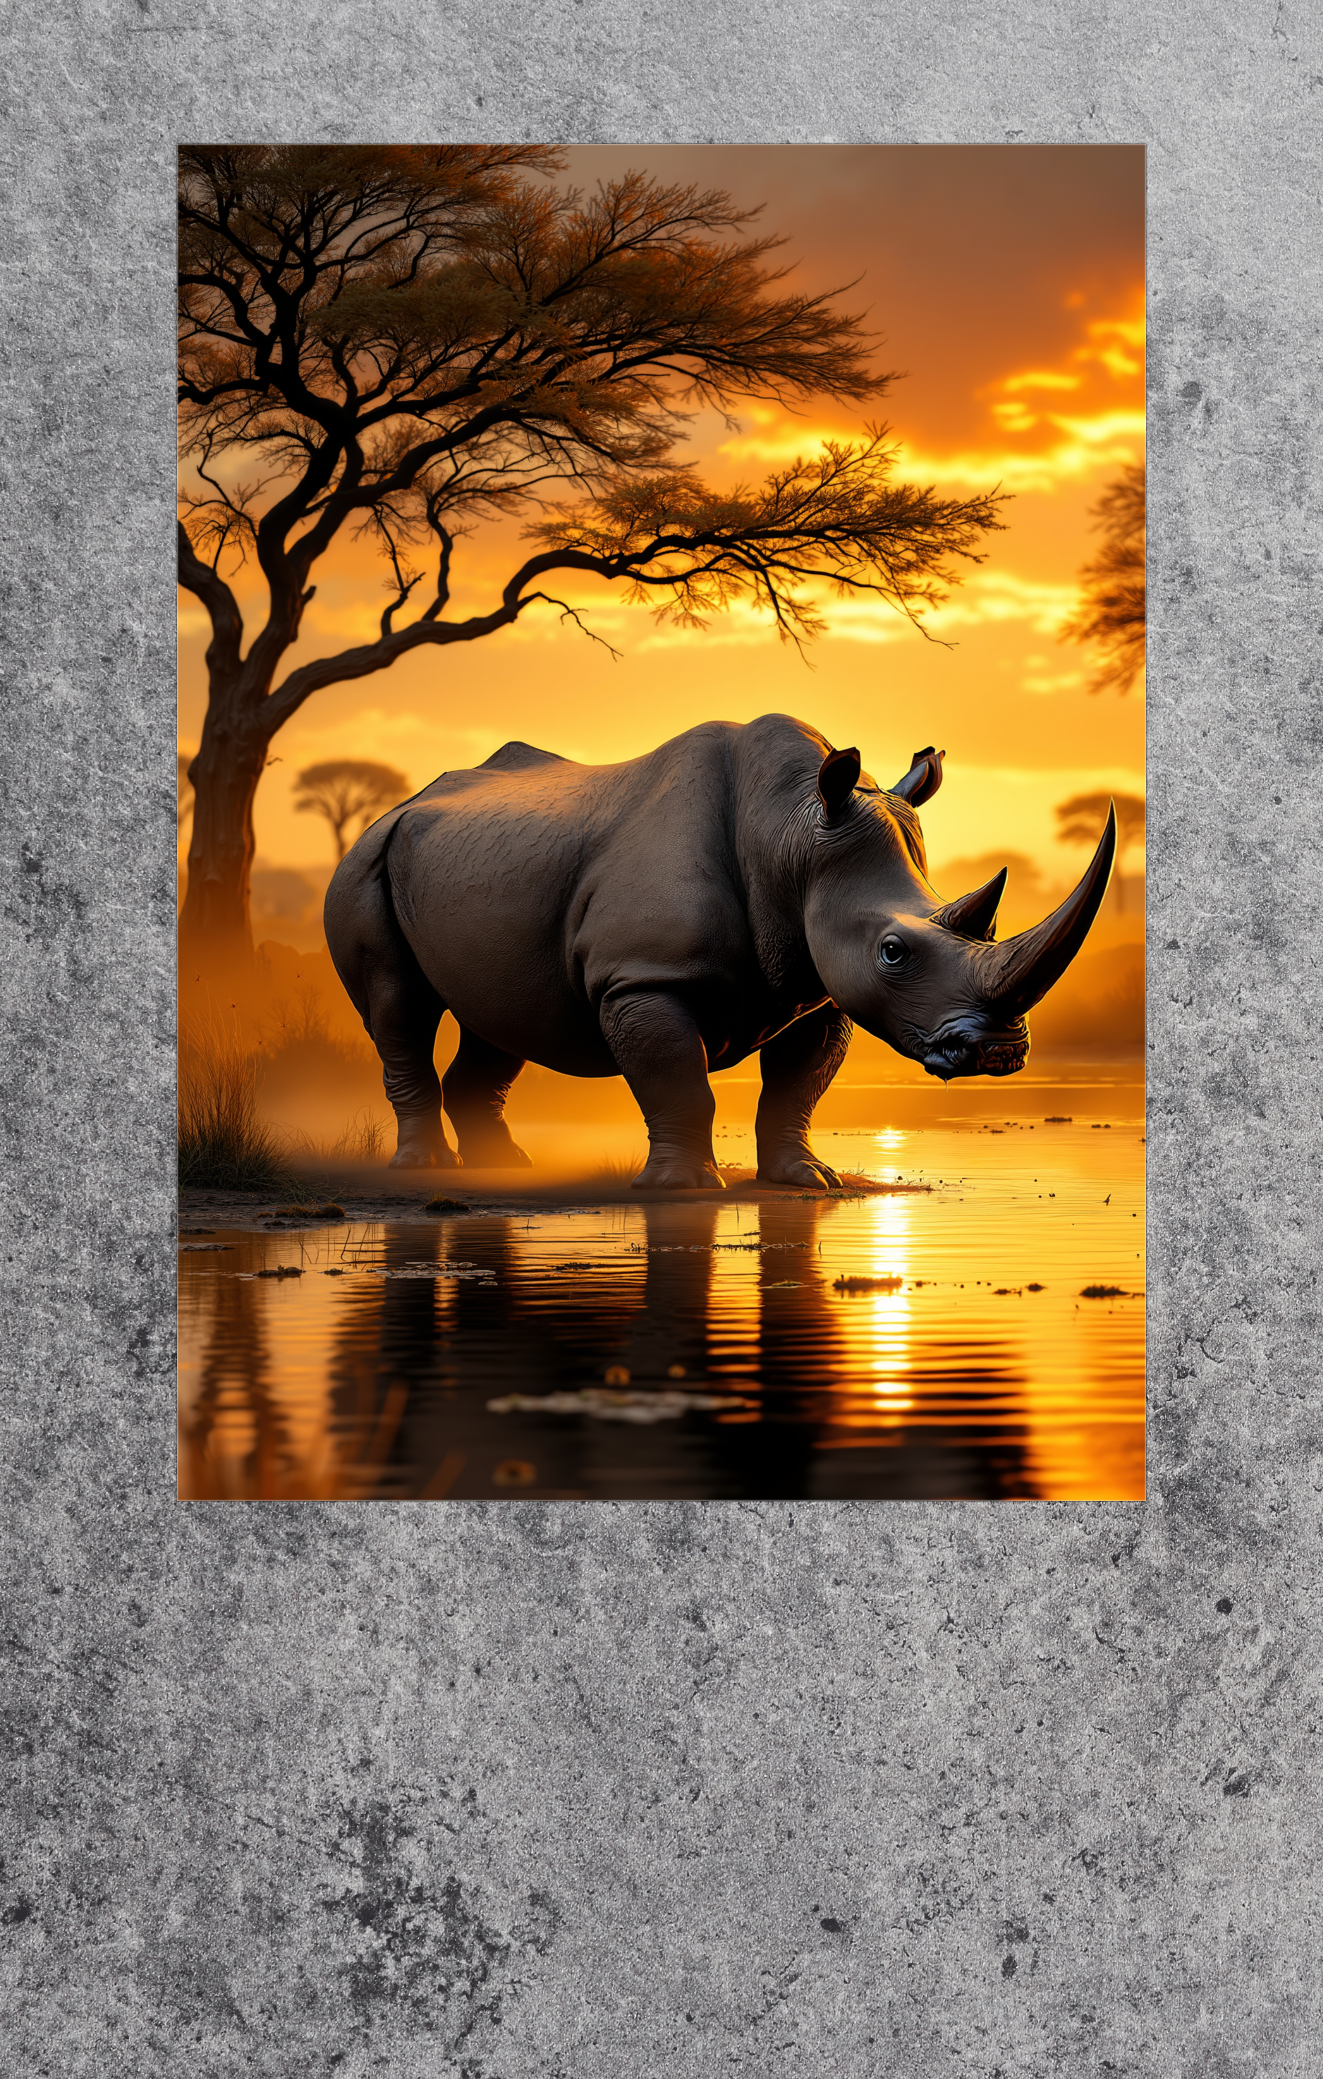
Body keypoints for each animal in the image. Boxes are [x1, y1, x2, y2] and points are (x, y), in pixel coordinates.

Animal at [324, 713, 1115, 1190]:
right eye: (893, 952)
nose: (1001, 1051)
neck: (791, 829)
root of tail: (401, 805)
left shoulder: (815, 986)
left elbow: (795, 1088)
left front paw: (807, 1181)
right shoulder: (643, 978)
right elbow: (680, 1083)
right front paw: (682, 1188)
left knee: (502, 1018)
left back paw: (505, 1169)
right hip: (366, 859)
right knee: (400, 1009)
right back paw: (425, 1170)